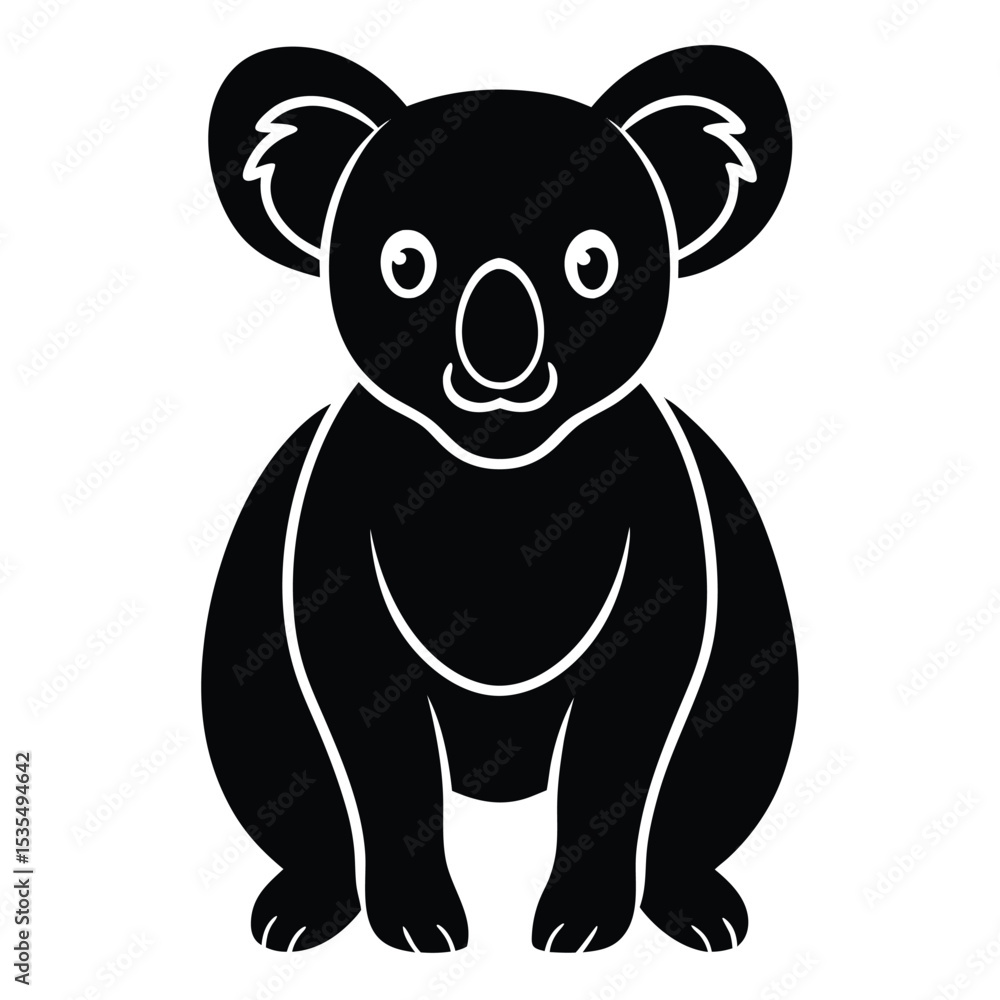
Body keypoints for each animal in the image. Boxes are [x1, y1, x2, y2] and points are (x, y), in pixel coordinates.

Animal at [202, 44, 798, 955]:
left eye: (593, 262)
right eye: (404, 264)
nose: (500, 355)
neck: (499, 499)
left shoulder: (664, 547)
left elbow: (618, 752)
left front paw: (581, 923)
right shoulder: (334, 550)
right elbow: (382, 757)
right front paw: (418, 923)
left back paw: (692, 902)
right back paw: (307, 903)